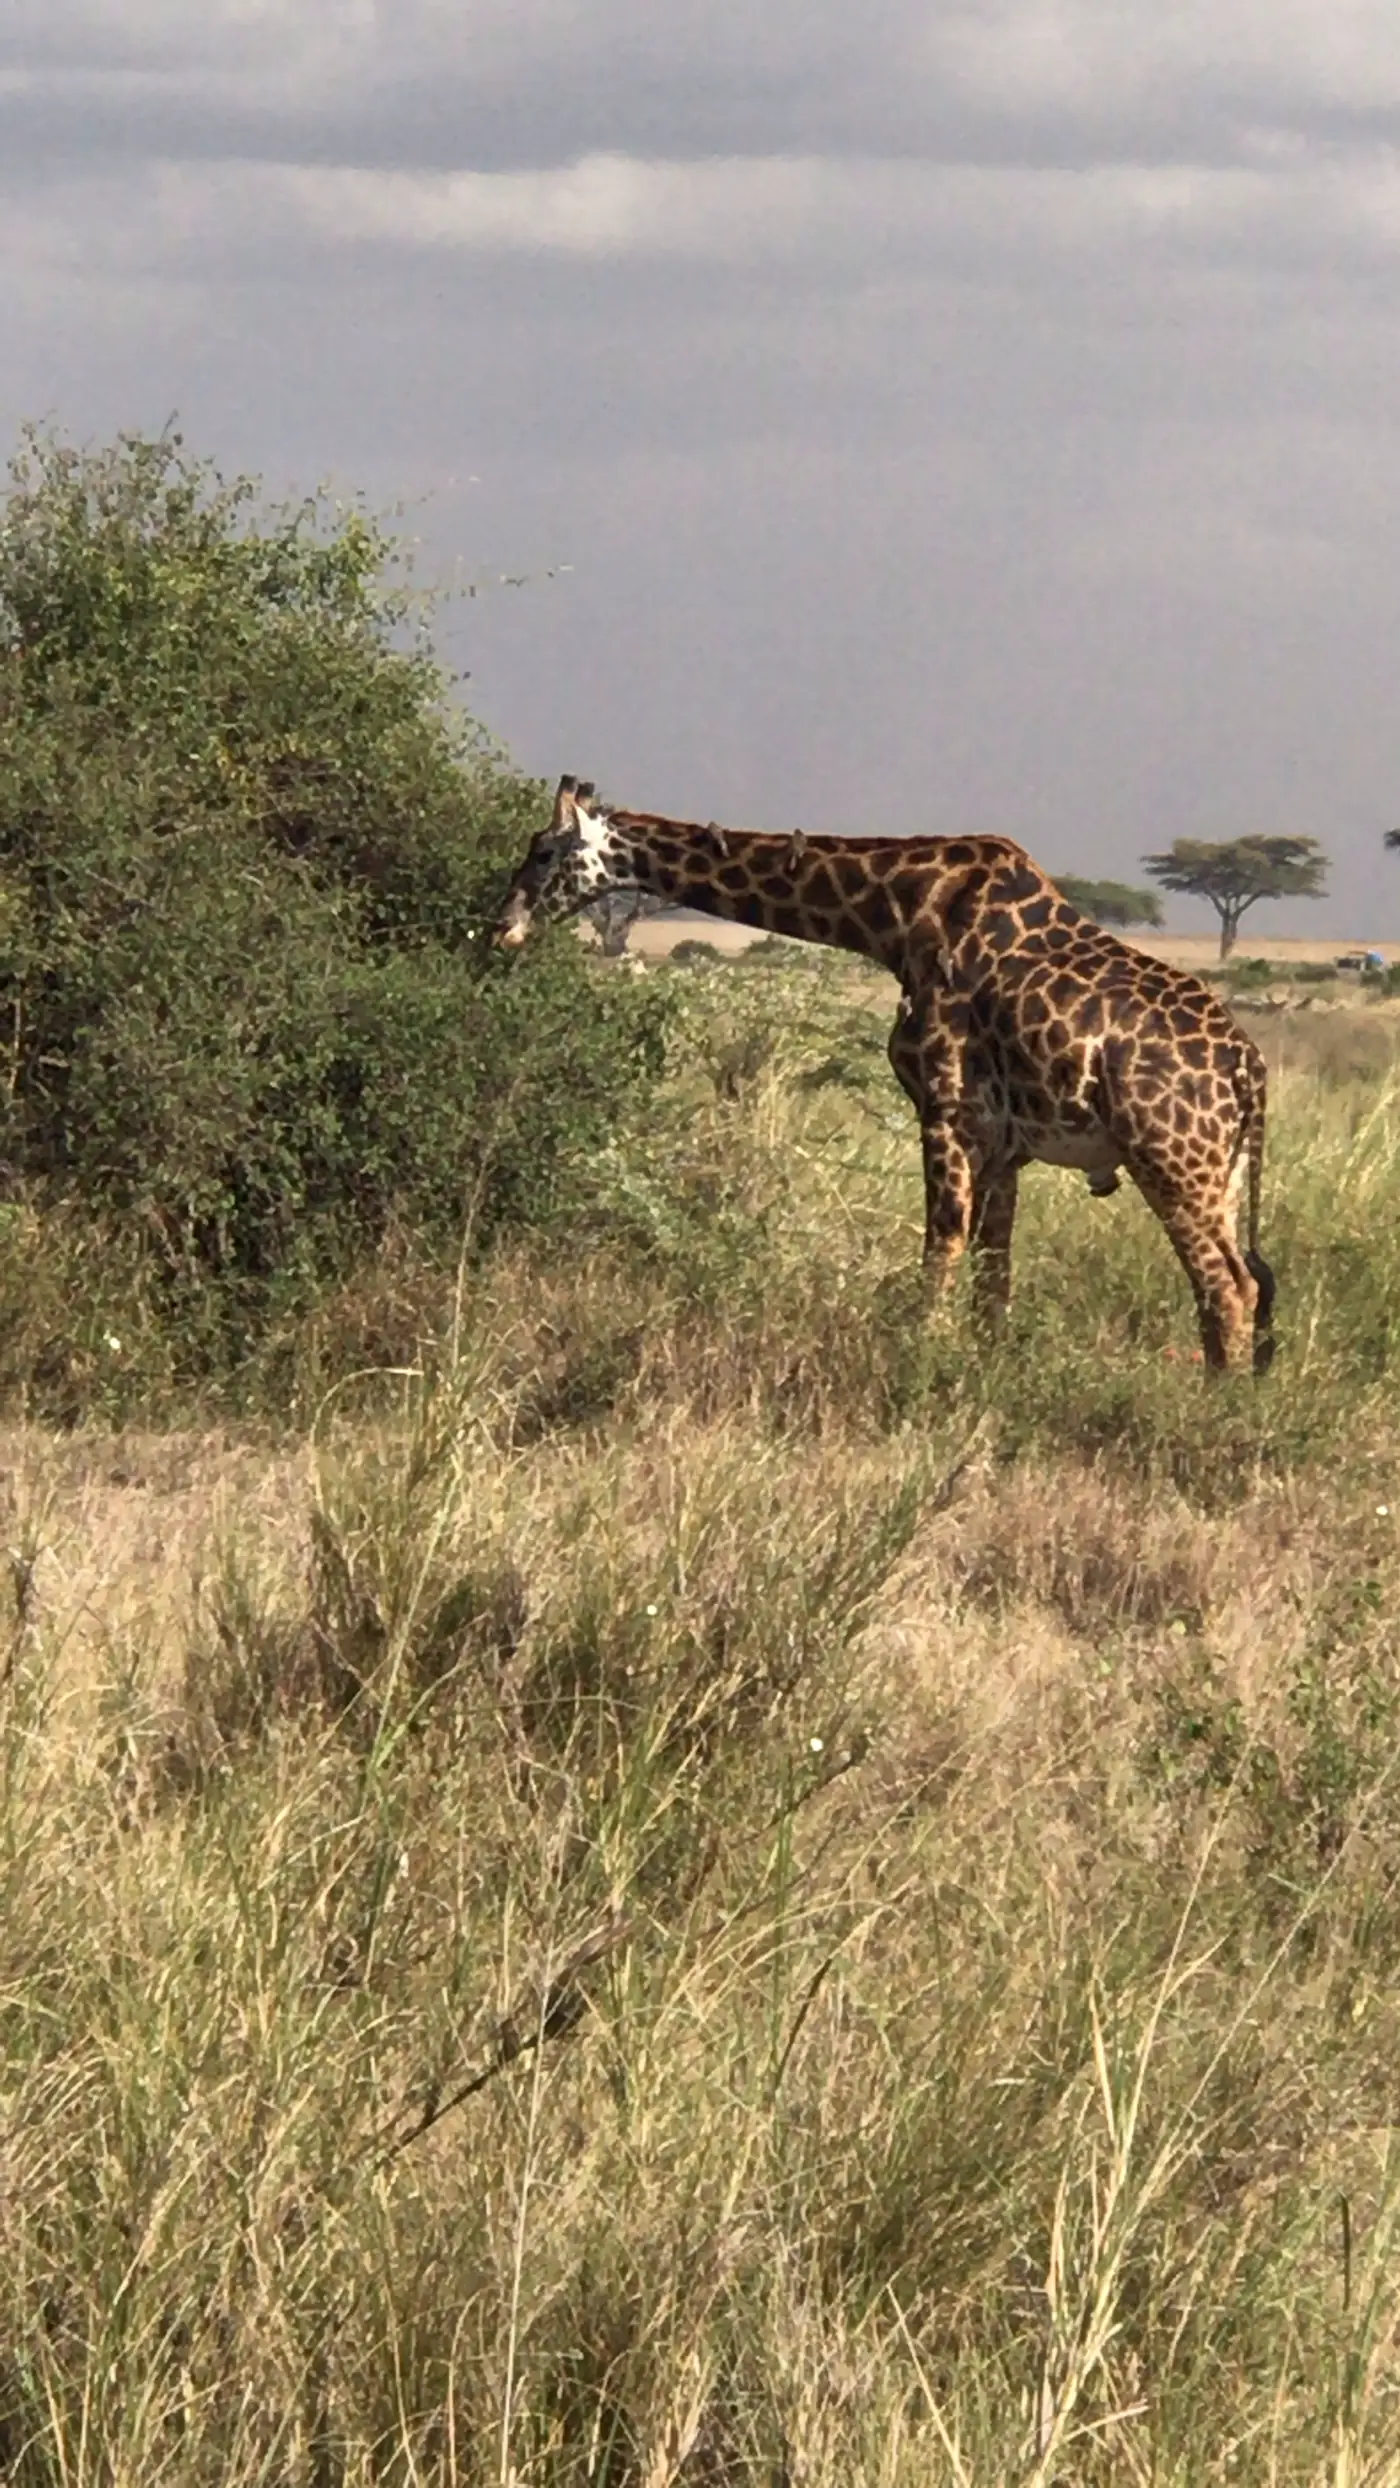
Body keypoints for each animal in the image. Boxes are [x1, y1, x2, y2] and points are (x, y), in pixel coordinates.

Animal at [495, 777, 1276, 1372]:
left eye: (542, 851)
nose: (504, 925)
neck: (893, 915)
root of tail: (1249, 1066)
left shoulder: (944, 1104)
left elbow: (943, 1240)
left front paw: (920, 1364)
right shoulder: (1004, 1141)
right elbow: (993, 1272)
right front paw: (988, 1377)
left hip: (1171, 1161)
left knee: (1228, 1288)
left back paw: (1219, 1413)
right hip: (1222, 1171)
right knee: (1237, 1286)